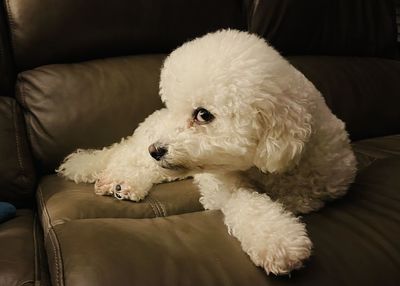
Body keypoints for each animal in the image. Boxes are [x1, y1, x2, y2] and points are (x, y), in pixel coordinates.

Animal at [56, 29, 356, 274]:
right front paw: (278, 241)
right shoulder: (224, 187)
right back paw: (119, 180)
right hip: (144, 151)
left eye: (203, 115)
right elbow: (247, 202)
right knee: (124, 157)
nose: (156, 149)